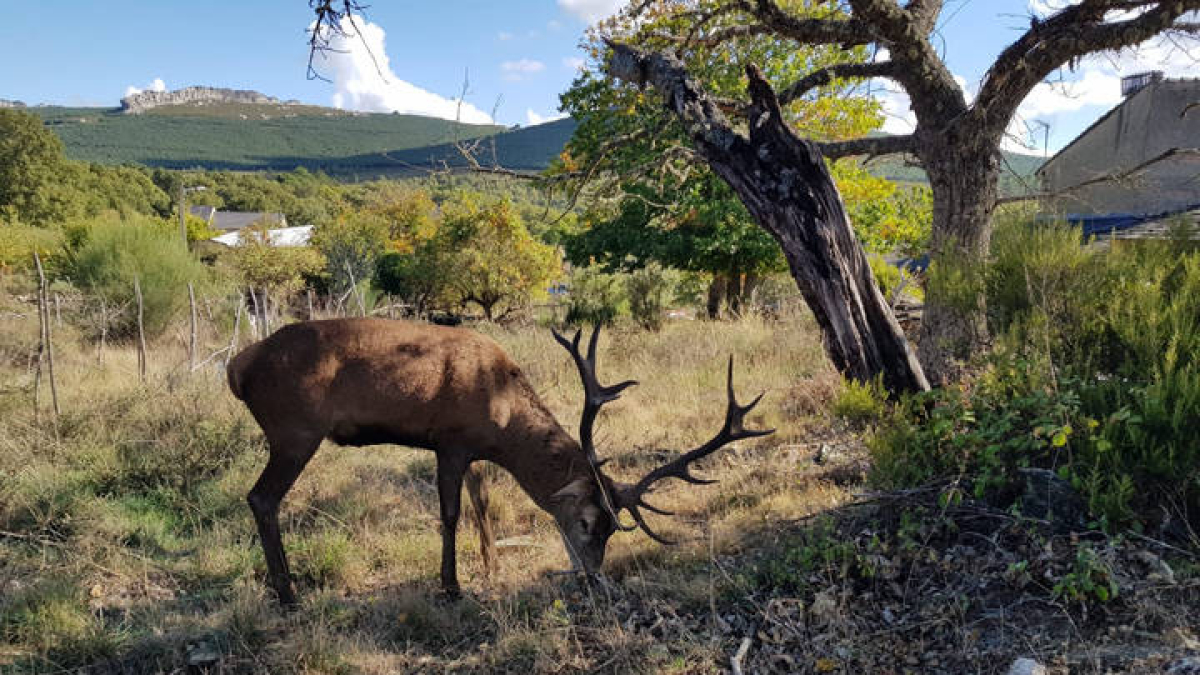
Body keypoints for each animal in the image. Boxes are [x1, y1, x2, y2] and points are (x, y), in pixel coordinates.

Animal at [226, 318, 771, 606]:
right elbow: (450, 514)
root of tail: (236, 367)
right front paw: (452, 586)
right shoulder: (449, 441)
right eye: (587, 521)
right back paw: (288, 594)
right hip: (294, 431)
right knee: (260, 498)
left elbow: (482, 504)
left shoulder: (473, 452)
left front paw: (490, 568)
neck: (502, 415)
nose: (594, 578)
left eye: (613, 531)